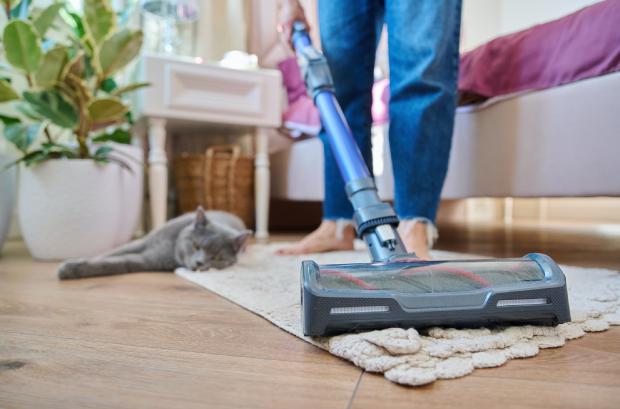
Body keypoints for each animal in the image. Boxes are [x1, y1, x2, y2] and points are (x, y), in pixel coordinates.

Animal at [57, 206, 252, 278]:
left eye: (218, 259)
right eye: (196, 246)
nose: (200, 263)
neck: (170, 246)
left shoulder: (148, 260)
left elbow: (117, 262)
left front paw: (70, 269)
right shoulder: (142, 242)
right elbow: (111, 253)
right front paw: (75, 262)